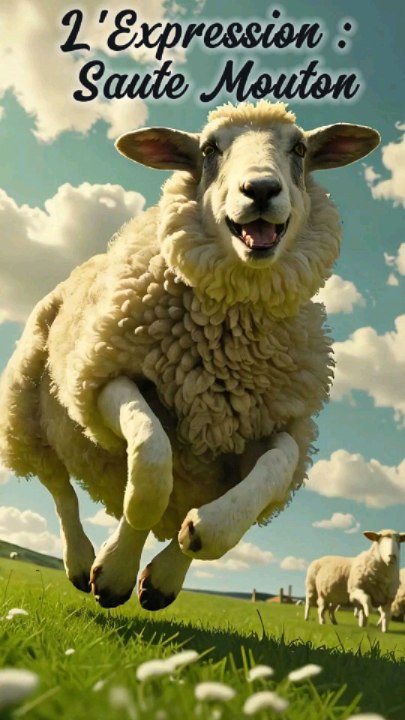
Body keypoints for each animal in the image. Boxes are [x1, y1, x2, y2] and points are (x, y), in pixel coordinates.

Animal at [0, 101, 380, 612]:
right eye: (209, 149)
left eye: (300, 148)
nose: (261, 189)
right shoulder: (106, 375)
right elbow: (150, 456)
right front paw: (126, 539)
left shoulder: (278, 424)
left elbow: (270, 477)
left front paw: (198, 535)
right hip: (29, 406)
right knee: (59, 485)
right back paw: (85, 562)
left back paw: (155, 575)